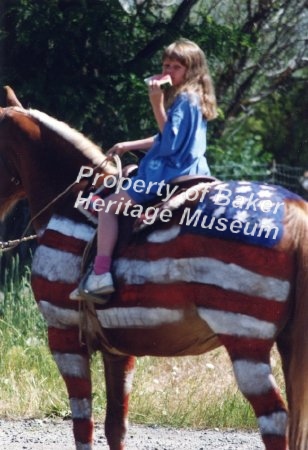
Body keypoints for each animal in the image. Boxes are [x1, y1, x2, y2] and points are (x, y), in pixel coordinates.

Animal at [0, 86, 308, 448]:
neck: (69, 202)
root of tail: (294, 211)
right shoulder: (119, 349)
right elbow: (115, 425)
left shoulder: (64, 335)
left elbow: (82, 426)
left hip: (246, 343)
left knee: (275, 420)